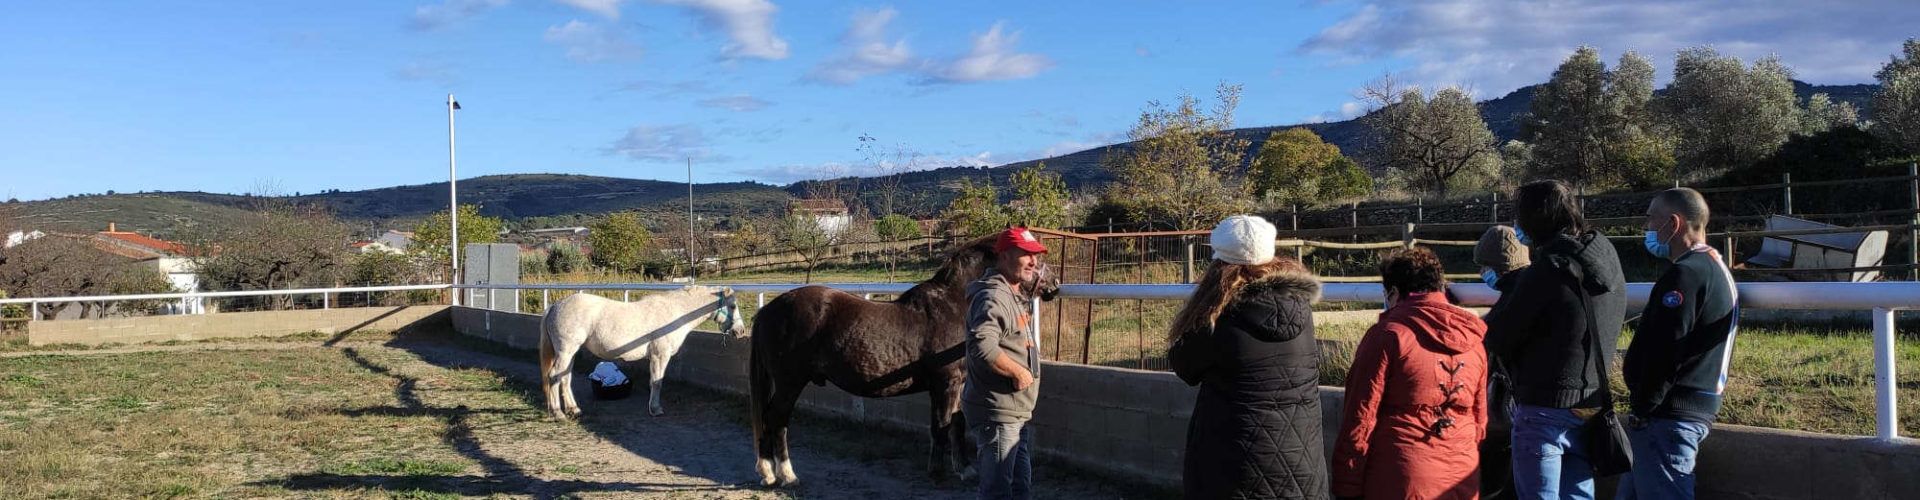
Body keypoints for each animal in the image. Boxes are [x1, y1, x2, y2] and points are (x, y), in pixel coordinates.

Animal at [538, 285, 746, 419]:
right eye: (733, 306)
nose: (741, 331)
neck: (675, 313)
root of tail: (554, 306)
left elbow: (654, 382)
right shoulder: (660, 356)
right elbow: (657, 382)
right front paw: (655, 409)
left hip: (569, 353)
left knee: (565, 377)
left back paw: (574, 409)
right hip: (566, 352)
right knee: (554, 376)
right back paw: (558, 413)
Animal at [747, 236, 1060, 487]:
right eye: (1032, 260)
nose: (1055, 284)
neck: (953, 306)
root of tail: (768, 311)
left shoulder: (951, 386)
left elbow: (953, 424)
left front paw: (965, 470)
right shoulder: (946, 383)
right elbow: (942, 426)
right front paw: (938, 473)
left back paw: (768, 472)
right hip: (790, 382)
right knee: (777, 419)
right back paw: (787, 475)